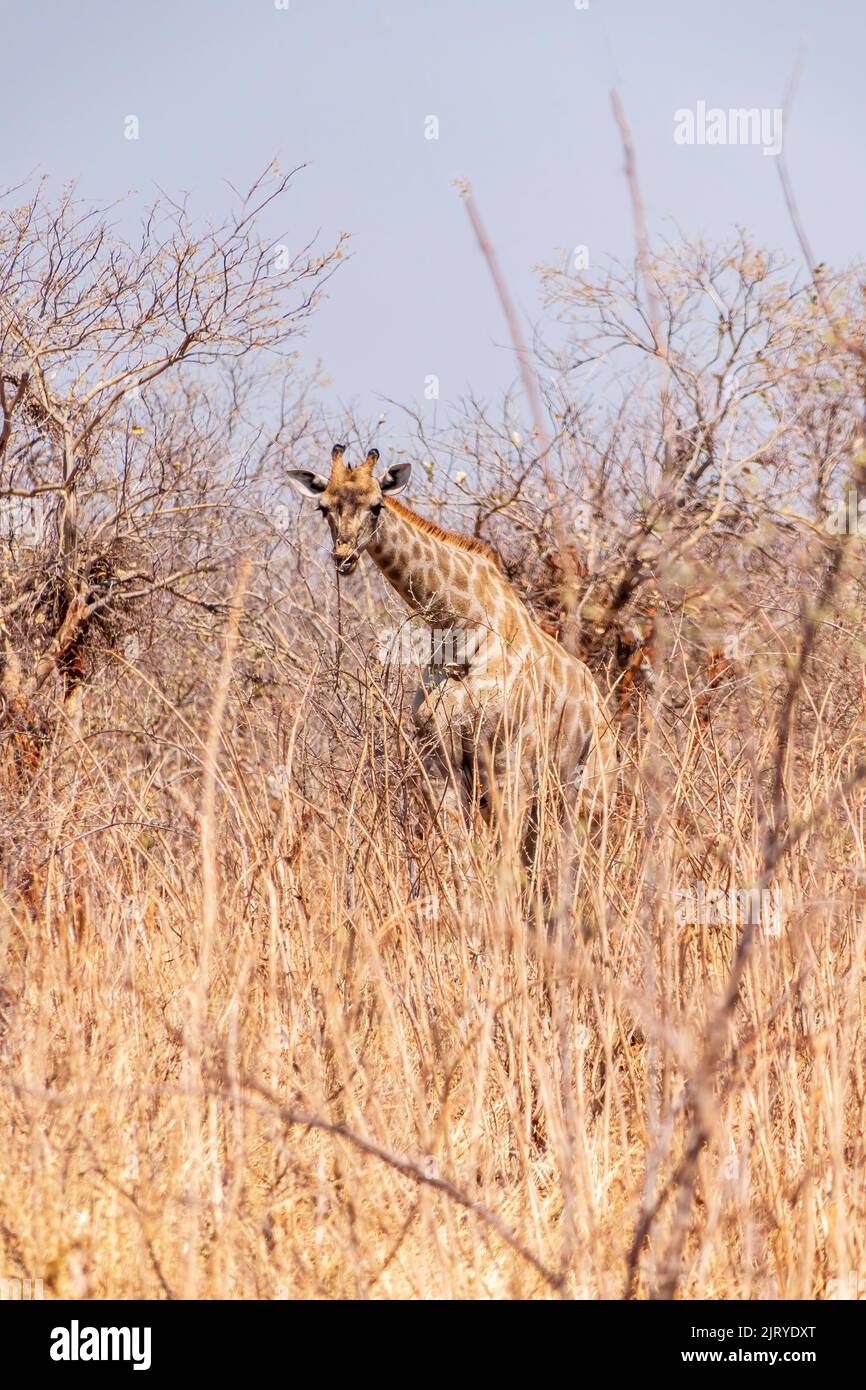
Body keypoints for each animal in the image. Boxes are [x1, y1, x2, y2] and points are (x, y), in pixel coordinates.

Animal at [287, 450, 619, 828]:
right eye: (323, 507)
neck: (457, 631)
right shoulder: (437, 762)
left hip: (592, 789)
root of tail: (603, 708)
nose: (344, 558)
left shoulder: (509, 761)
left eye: (376, 506)